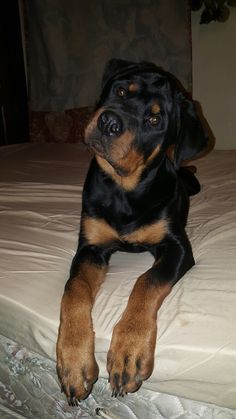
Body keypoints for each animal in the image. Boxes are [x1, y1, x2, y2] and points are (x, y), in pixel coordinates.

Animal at [56, 58, 209, 404]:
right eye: (121, 91)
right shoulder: (90, 247)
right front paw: (73, 361)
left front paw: (129, 351)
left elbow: (146, 281)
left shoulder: (177, 247)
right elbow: (75, 288)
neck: (124, 188)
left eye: (154, 119)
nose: (109, 121)